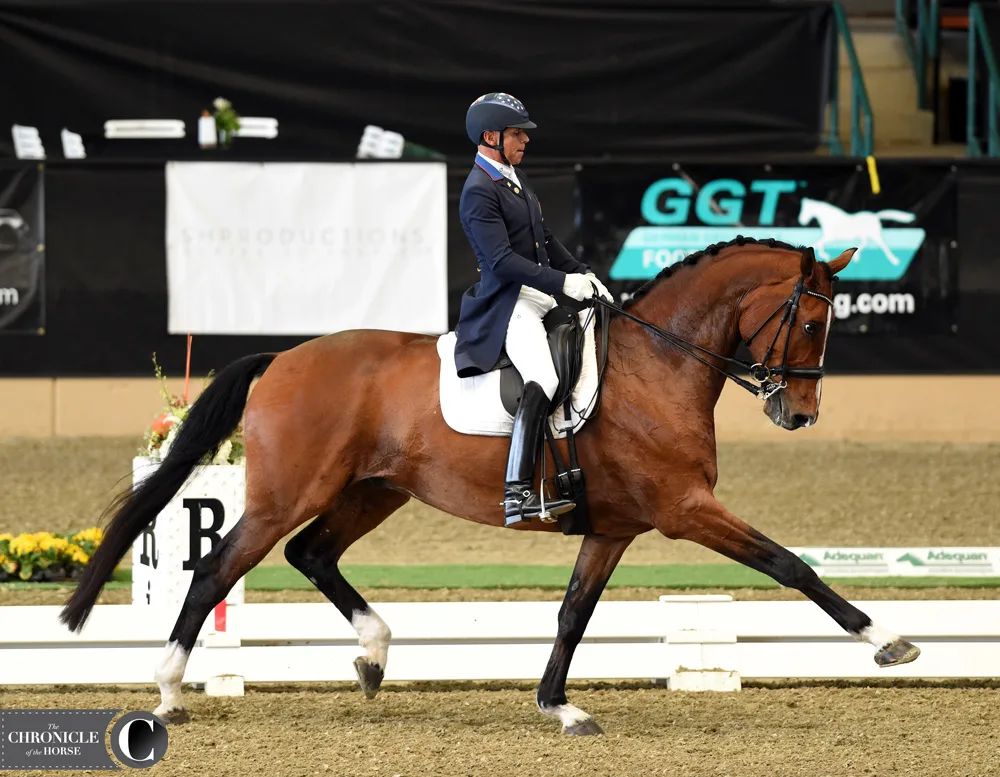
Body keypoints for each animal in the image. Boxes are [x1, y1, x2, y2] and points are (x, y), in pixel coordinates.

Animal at [60, 236, 920, 732]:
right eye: (809, 321)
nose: (799, 414)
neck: (661, 363)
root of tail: (281, 358)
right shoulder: (685, 508)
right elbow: (789, 564)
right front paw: (888, 640)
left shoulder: (613, 527)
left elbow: (572, 613)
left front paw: (558, 703)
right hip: (287, 493)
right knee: (217, 565)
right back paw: (170, 691)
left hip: (373, 490)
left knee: (313, 555)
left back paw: (373, 656)